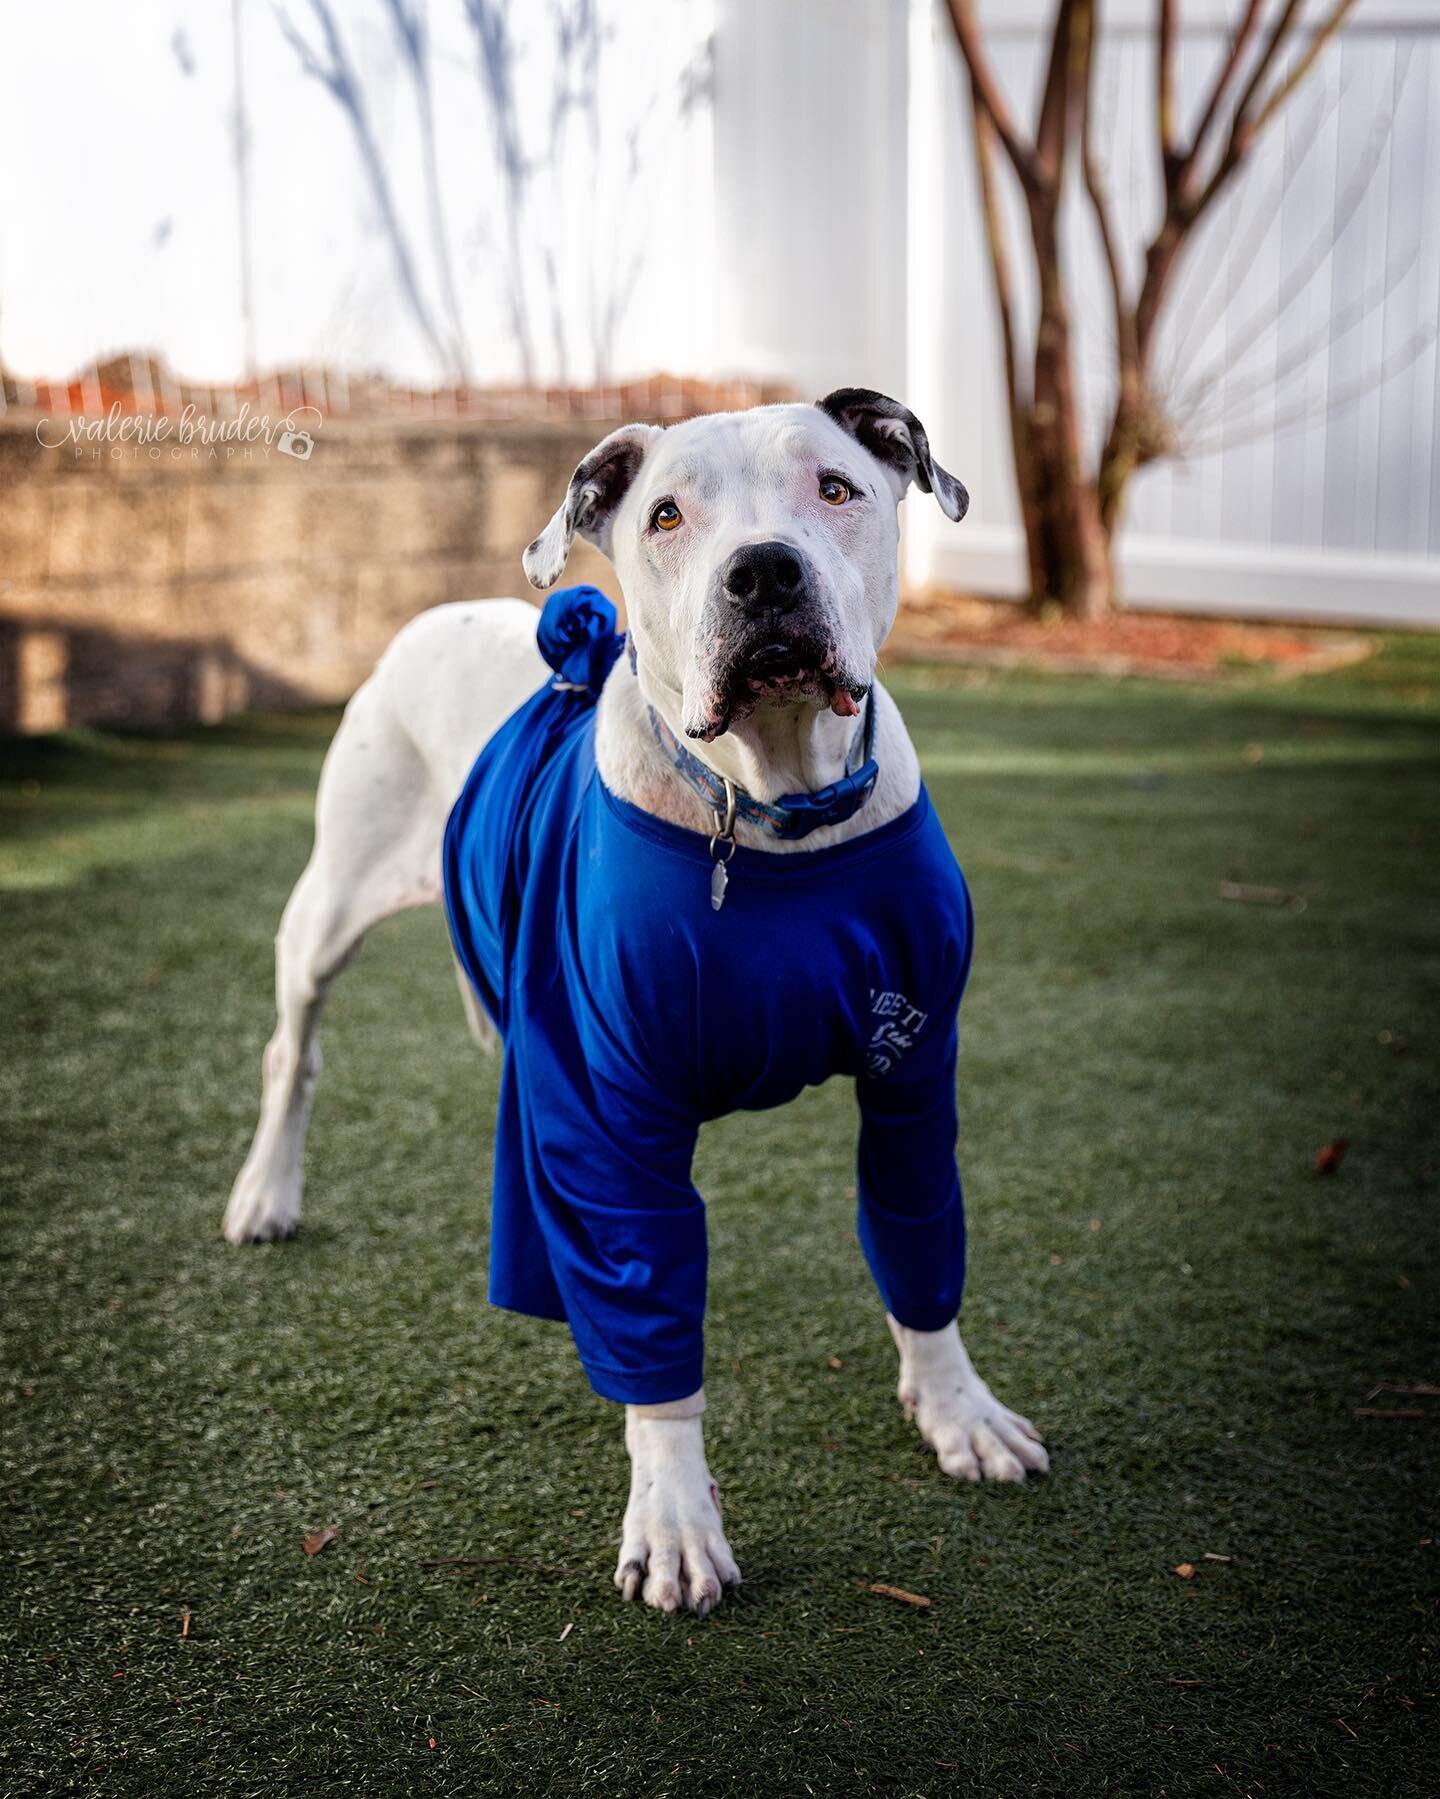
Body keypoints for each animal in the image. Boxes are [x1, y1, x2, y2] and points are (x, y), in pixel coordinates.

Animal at [225, 390, 1044, 1619]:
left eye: (836, 488)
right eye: (665, 515)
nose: (764, 572)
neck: (767, 811)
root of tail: (433, 615)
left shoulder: (914, 1075)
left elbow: (919, 1243)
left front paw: (958, 1410)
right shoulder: (606, 1108)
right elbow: (651, 1323)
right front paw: (673, 1520)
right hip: (328, 903)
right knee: (295, 1048)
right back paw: (266, 1191)